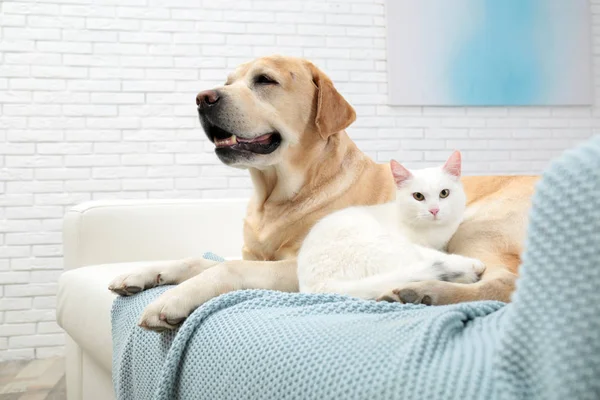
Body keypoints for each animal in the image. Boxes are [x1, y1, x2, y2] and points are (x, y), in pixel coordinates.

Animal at [298, 152, 486, 302]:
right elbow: (437, 255)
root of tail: (320, 286)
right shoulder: (421, 247)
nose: (434, 210)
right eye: (418, 196)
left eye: (444, 193)